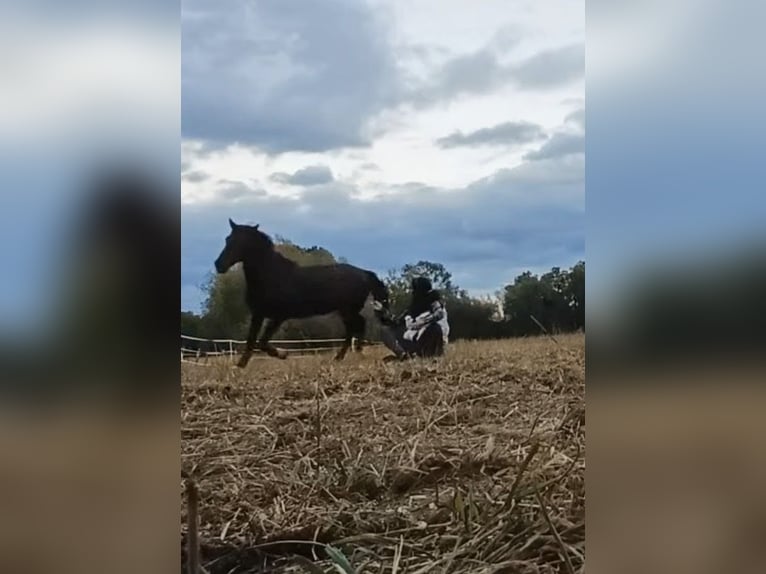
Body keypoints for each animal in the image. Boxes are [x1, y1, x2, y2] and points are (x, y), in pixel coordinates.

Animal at [214, 219, 391, 367]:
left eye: (241, 242)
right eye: (228, 239)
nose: (218, 264)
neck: (271, 275)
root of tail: (364, 273)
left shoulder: (279, 315)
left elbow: (261, 342)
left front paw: (282, 354)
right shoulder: (258, 314)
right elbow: (251, 340)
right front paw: (240, 365)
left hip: (349, 310)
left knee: (359, 325)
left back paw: (356, 353)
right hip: (345, 311)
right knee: (352, 329)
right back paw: (340, 357)